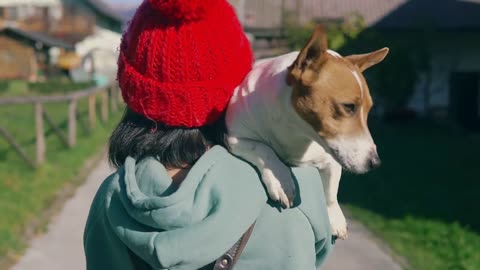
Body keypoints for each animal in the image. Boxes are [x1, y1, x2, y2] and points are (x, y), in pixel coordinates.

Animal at [226, 26, 390, 238]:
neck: (297, 130)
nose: (375, 163)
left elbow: (331, 191)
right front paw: (280, 179)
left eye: (369, 110)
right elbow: (264, 149)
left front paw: (334, 215)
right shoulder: (235, 137)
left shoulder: (331, 157)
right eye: (348, 107)